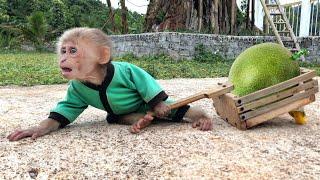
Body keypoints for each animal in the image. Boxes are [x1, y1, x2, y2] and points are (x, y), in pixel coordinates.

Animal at [6, 27, 212, 141]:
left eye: (73, 51)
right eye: (63, 50)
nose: (63, 58)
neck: (97, 78)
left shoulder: (125, 70)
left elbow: (141, 78)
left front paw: (160, 106)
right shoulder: (76, 87)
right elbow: (64, 111)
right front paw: (38, 129)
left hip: (149, 104)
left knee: (176, 109)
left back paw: (199, 117)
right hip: (127, 113)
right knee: (126, 116)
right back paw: (141, 122)